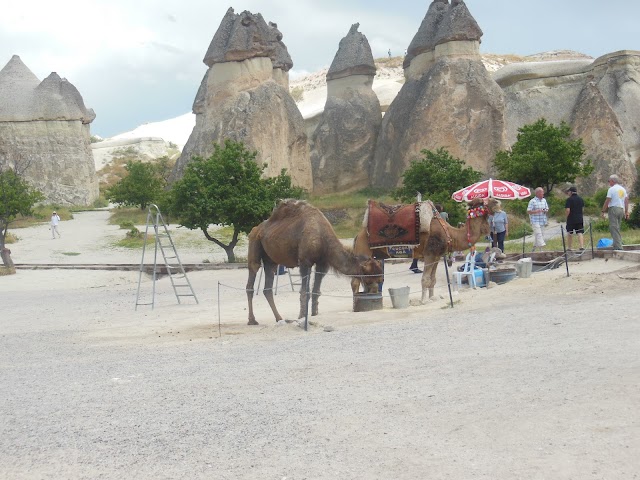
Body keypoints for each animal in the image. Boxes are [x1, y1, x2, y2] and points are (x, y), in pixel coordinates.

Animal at [248, 197, 382, 324]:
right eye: (368, 280)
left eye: (380, 279)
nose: (374, 294)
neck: (323, 238)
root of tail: (257, 228)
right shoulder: (305, 262)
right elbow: (304, 291)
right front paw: (302, 316)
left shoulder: (322, 264)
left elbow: (316, 291)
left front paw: (314, 314)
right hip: (254, 241)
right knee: (252, 274)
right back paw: (252, 320)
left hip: (270, 260)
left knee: (267, 287)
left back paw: (279, 318)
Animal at [352, 197, 498, 302]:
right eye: (481, 201)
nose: (497, 202)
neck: (449, 234)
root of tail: (357, 236)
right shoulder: (429, 254)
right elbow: (425, 279)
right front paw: (423, 300)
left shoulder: (437, 256)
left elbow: (432, 280)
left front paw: (432, 297)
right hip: (363, 251)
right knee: (356, 281)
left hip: (374, 256)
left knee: (367, 279)